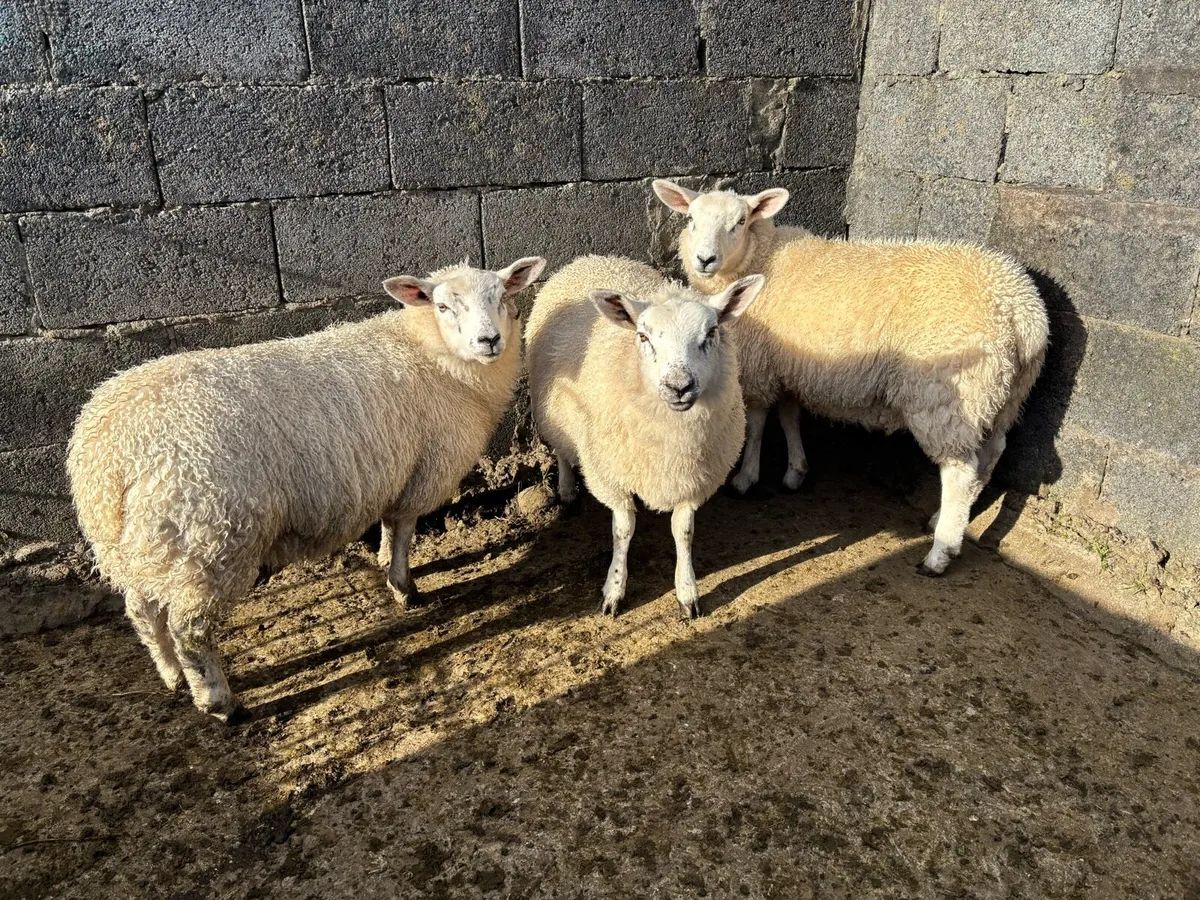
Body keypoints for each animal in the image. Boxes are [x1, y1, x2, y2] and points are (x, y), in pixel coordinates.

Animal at [67, 256, 546, 720]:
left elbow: (391, 527)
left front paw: (385, 562)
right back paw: (219, 703)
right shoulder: (422, 471)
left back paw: (171, 675)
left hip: (145, 547)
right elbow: (403, 528)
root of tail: (105, 461)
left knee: (143, 611)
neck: (429, 349)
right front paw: (403, 586)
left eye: (502, 296)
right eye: (443, 305)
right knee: (190, 631)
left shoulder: (397, 474)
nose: (489, 340)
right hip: (209, 542)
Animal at [526, 255, 763, 618]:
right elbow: (623, 531)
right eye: (643, 337)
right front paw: (614, 590)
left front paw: (687, 592)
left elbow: (684, 532)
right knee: (564, 452)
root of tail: (595, 258)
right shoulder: (611, 476)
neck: (672, 437)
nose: (679, 386)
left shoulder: (692, 479)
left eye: (711, 333)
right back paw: (566, 491)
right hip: (552, 413)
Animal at [652, 179, 1049, 576]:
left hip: (948, 396)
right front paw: (796, 472)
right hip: (1003, 394)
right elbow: (789, 416)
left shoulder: (761, 366)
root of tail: (1021, 312)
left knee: (959, 471)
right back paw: (946, 519)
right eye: (691, 219)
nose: (705, 259)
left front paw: (746, 478)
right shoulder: (793, 365)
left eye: (740, 222)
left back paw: (939, 553)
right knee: (990, 455)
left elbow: (760, 421)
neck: (764, 258)